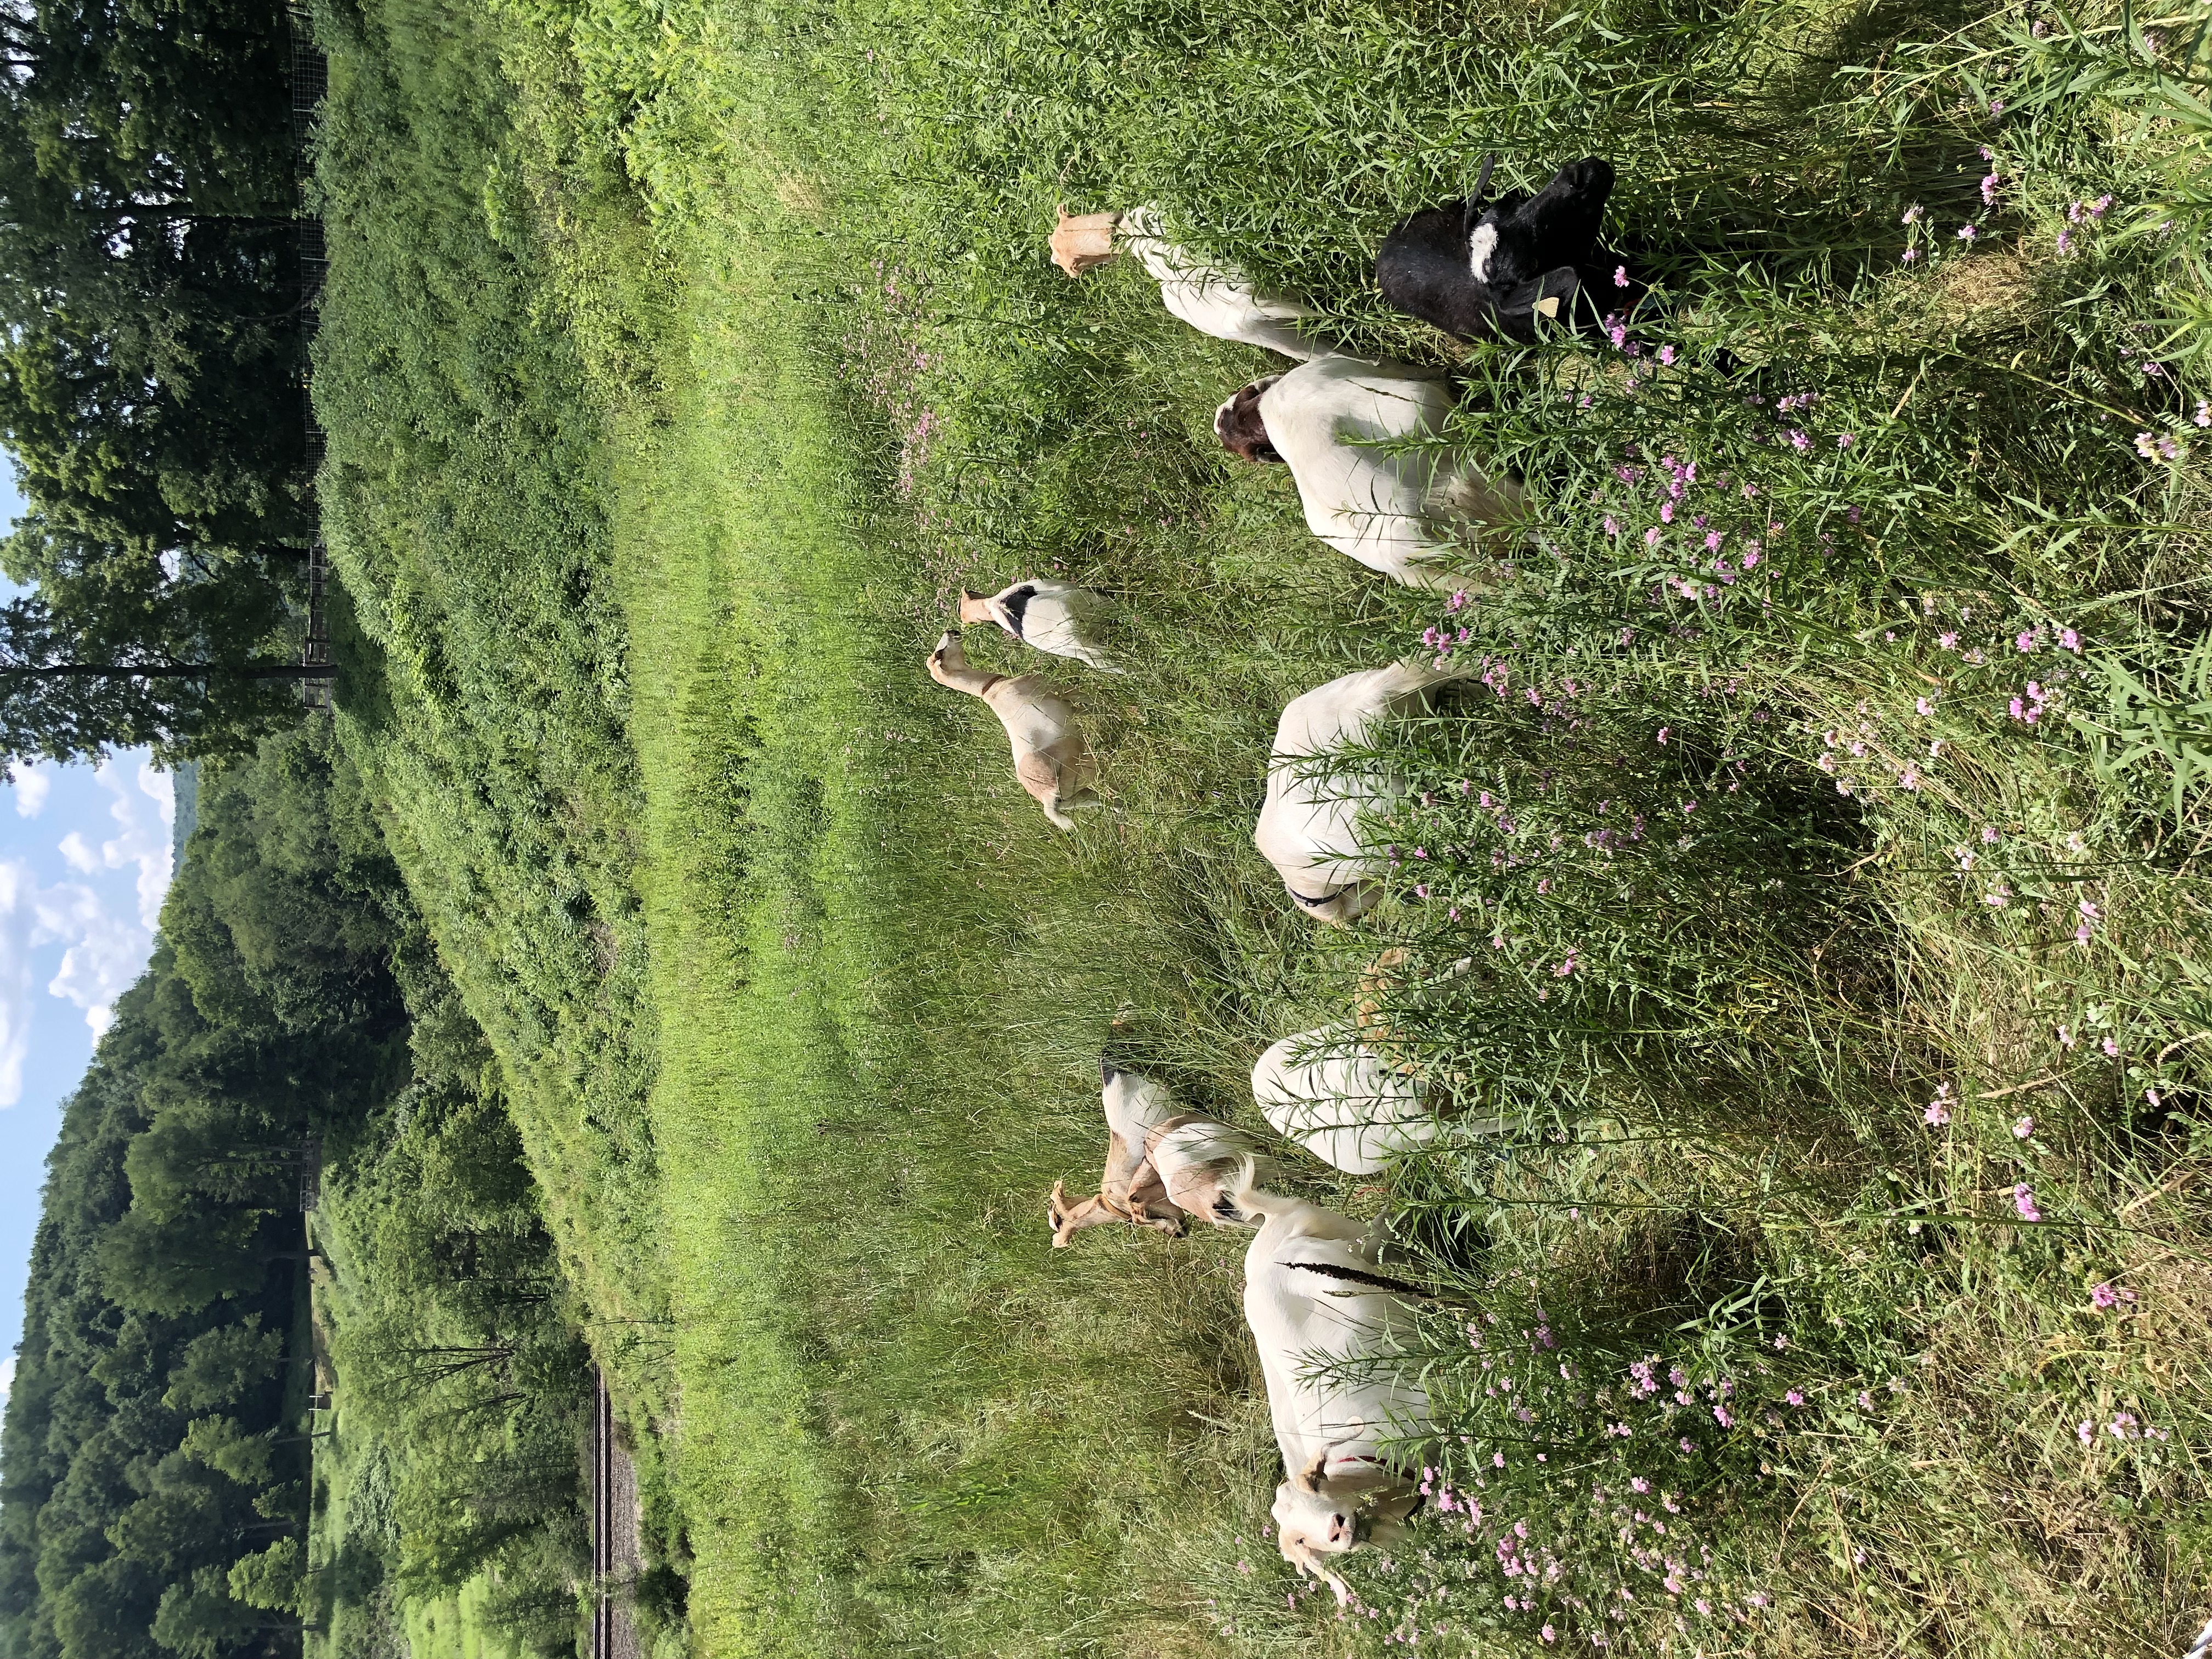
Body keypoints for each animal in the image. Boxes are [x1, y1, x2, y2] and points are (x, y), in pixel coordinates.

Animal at [927, 631, 1102, 830]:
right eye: (940, 653)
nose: (951, 632)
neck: (994, 689)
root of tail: (1048, 798)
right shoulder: (1059, 691)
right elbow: (1090, 700)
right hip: (1087, 770)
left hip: (1079, 795)